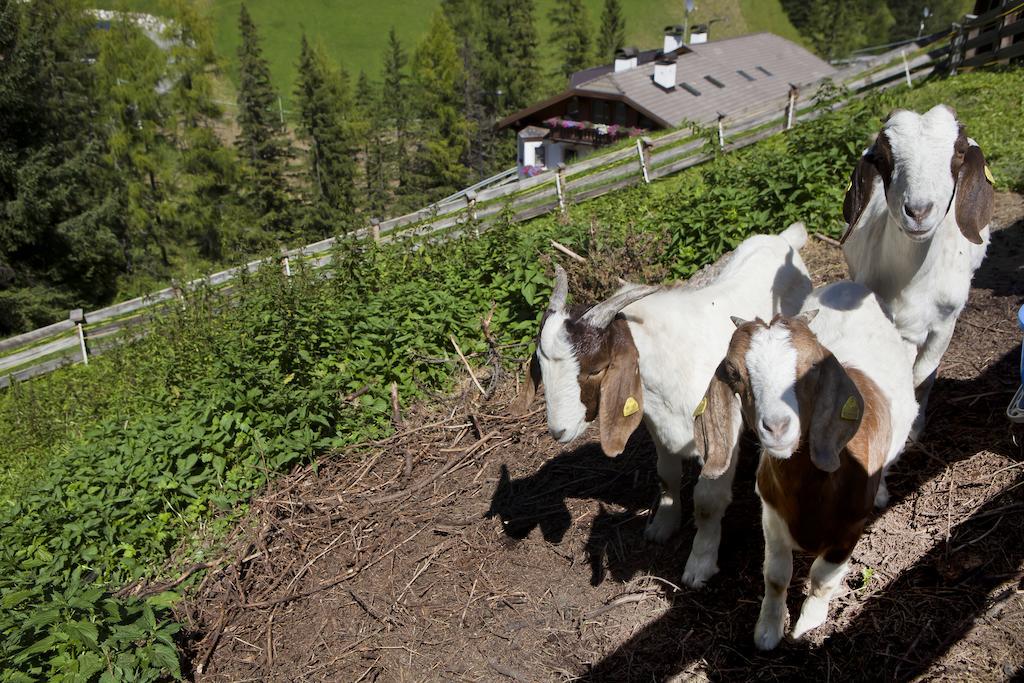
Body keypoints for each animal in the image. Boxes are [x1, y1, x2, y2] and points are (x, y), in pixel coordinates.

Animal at [507, 223, 811, 589]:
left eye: (596, 369)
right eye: (541, 364)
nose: (558, 430)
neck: (675, 355)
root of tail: (785, 239)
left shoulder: (721, 433)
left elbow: (707, 501)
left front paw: (699, 565)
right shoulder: (658, 424)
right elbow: (666, 475)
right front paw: (662, 526)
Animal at [692, 278, 917, 651]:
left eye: (813, 367)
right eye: (735, 373)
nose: (777, 427)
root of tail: (851, 284)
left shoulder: (850, 528)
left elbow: (823, 577)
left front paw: (806, 625)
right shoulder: (771, 515)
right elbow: (776, 575)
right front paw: (768, 632)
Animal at [839, 104, 991, 440]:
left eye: (959, 151)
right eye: (884, 157)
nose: (918, 212)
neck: (911, 281)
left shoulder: (945, 324)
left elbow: (923, 375)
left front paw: (915, 426)